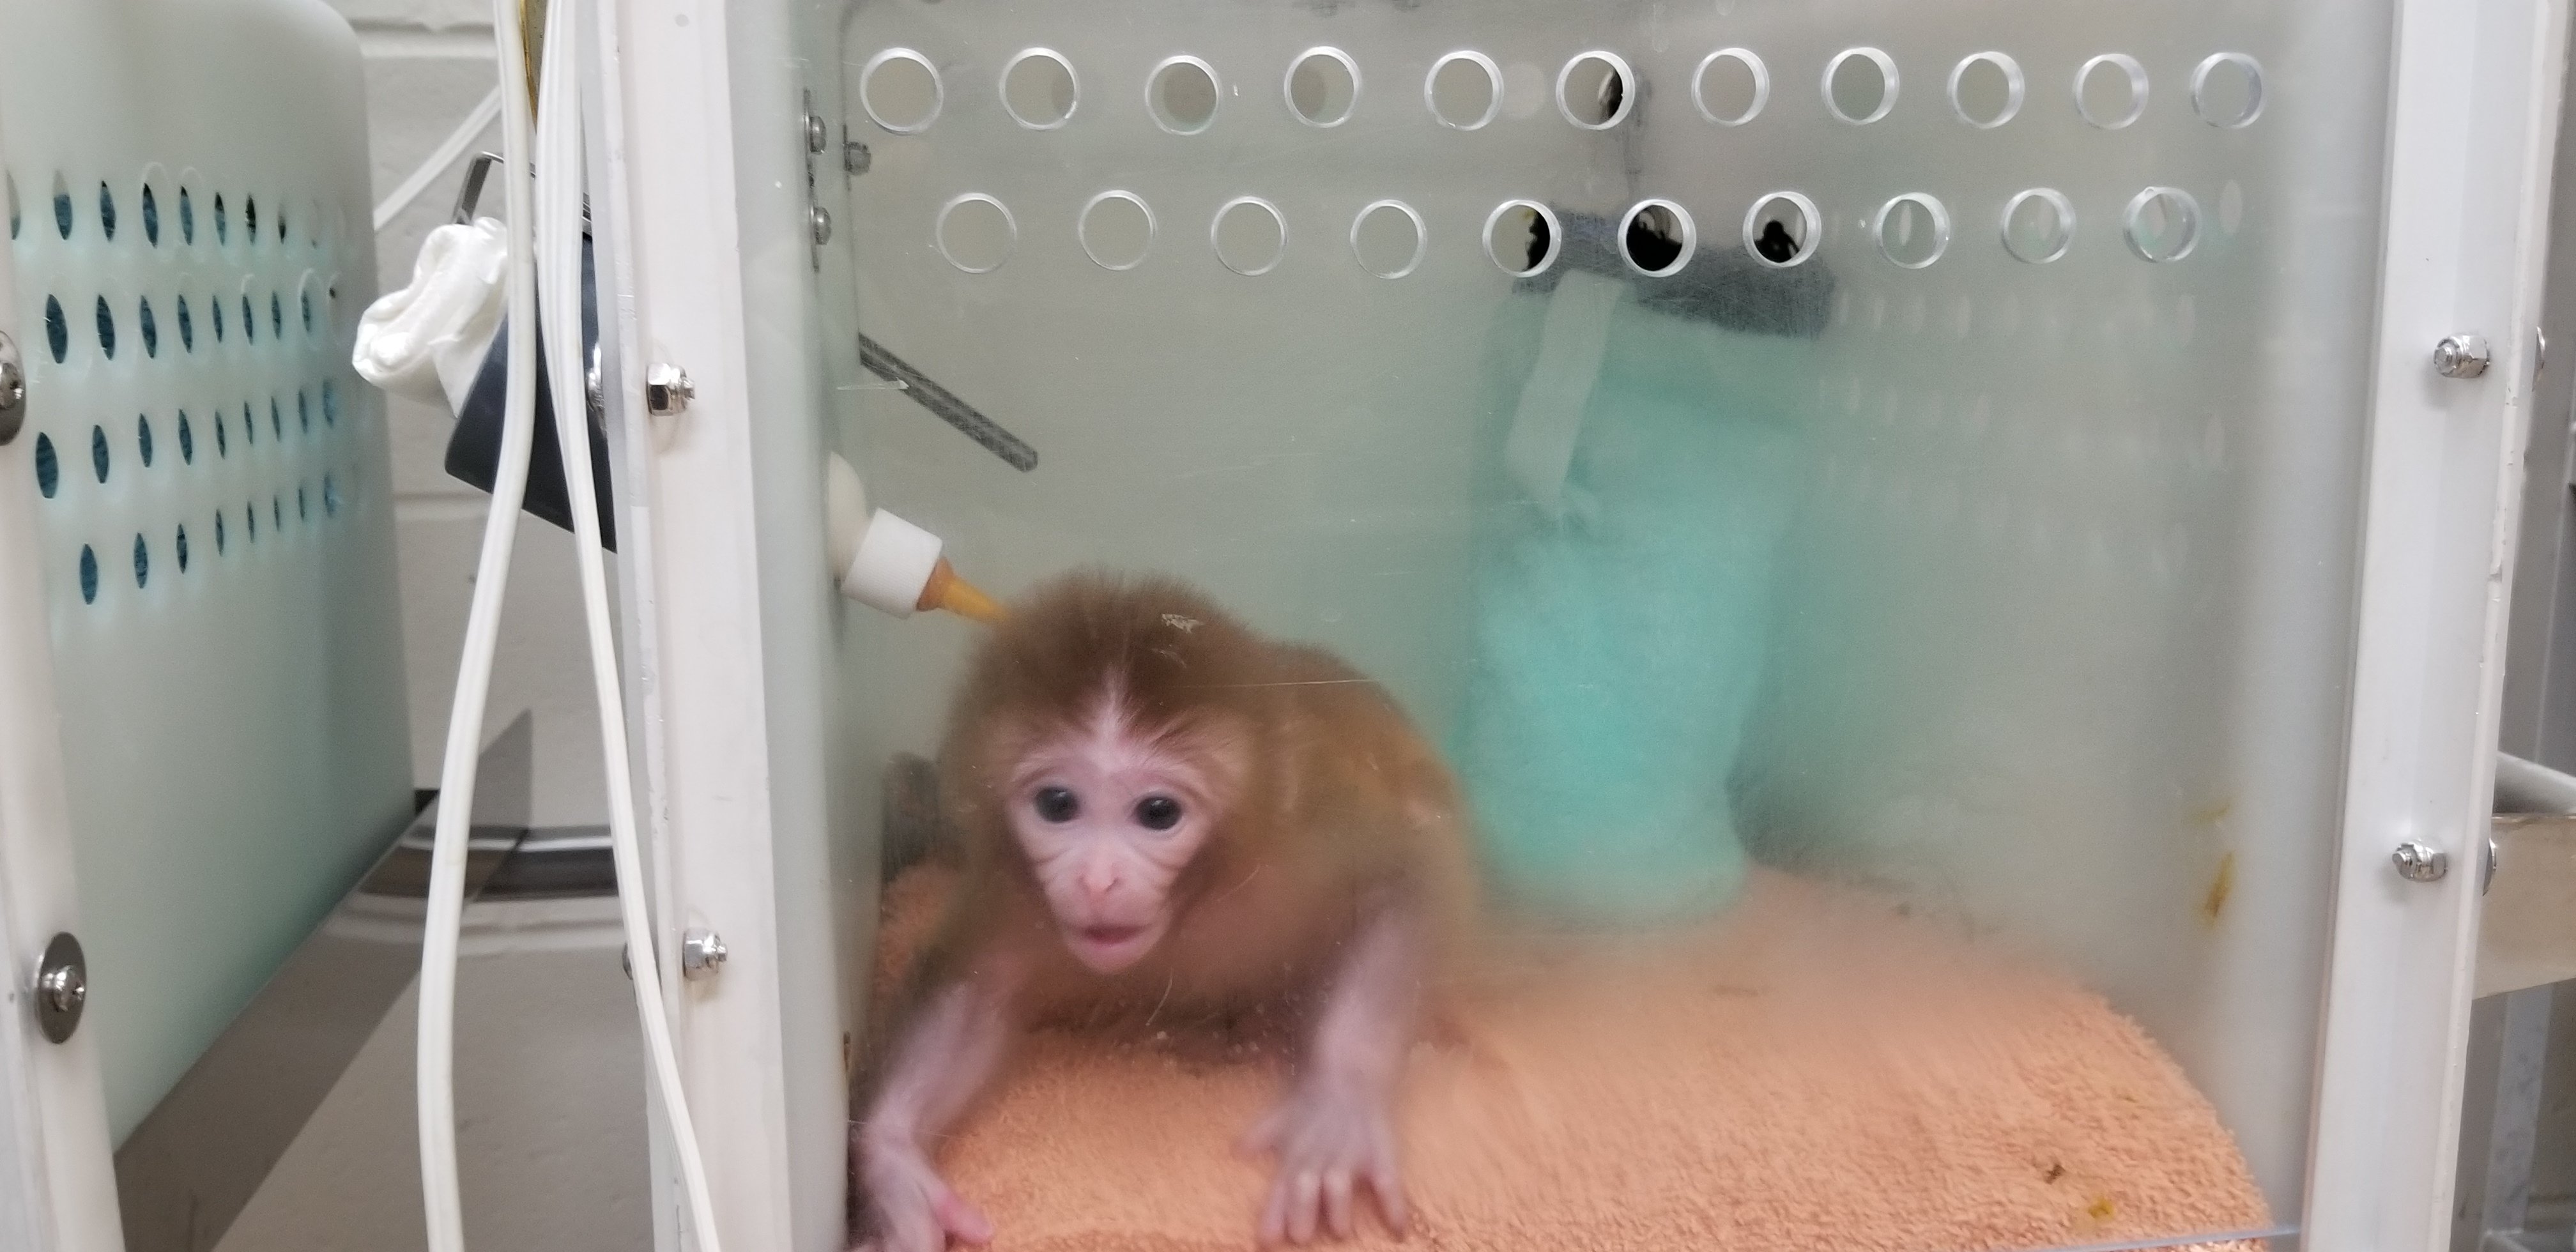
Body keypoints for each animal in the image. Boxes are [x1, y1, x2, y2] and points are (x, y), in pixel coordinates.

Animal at [855, 572, 1473, 1246]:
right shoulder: (1017, 896)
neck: (1194, 899)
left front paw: (1339, 1109)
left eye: (1157, 813)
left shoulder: (1306, 836)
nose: (1098, 881)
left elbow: (1403, 878)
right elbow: (973, 991)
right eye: (1057, 804)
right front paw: (894, 1167)